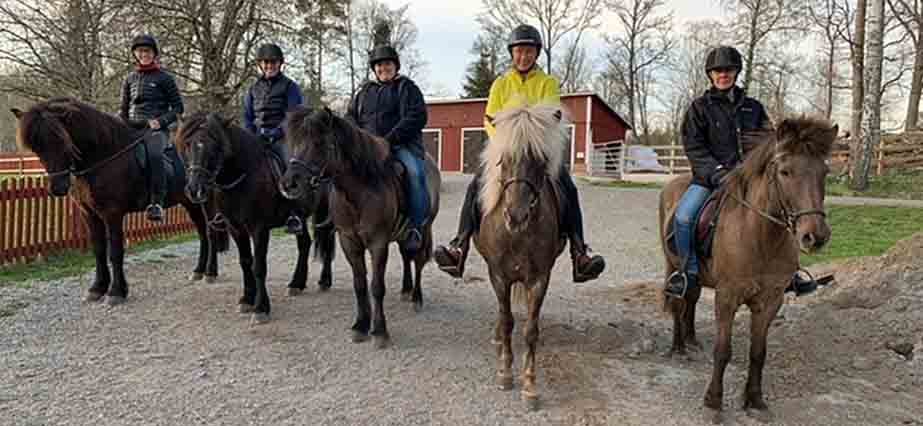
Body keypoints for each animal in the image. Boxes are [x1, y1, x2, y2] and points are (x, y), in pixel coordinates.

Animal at [14, 98, 226, 304]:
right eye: (36, 147)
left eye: (61, 140)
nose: (58, 187)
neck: (104, 154)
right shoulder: (89, 213)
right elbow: (99, 250)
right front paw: (97, 288)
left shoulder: (112, 213)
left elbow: (115, 252)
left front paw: (116, 292)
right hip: (190, 202)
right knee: (202, 232)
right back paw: (198, 271)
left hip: (204, 200)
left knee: (210, 232)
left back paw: (210, 272)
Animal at [175, 112, 338, 322]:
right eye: (187, 145)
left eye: (215, 146)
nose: (195, 189)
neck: (243, 177)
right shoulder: (236, 228)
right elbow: (246, 262)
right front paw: (247, 299)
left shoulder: (259, 229)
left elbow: (259, 266)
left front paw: (261, 308)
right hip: (300, 219)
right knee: (305, 244)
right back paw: (296, 284)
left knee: (327, 242)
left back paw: (324, 280)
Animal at [280, 106, 442, 350]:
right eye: (294, 142)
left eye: (319, 143)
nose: (288, 184)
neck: (359, 191)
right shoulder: (349, 241)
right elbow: (360, 285)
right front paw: (360, 326)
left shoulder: (378, 243)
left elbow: (376, 286)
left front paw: (380, 331)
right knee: (406, 257)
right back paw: (406, 290)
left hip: (424, 230)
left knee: (419, 260)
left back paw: (416, 297)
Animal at [476, 103, 572, 410]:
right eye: (504, 159)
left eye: (540, 160)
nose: (516, 216)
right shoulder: (498, 276)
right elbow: (508, 321)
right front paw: (506, 373)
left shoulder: (539, 278)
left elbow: (531, 329)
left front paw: (530, 385)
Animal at [656, 117, 836, 420]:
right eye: (785, 171)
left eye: (824, 172)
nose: (815, 236)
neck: (760, 237)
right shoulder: (727, 297)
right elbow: (723, 351)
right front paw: (714, 401)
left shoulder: (770, 301)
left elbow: (758, 353)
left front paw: (754, 399)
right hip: (673, 266)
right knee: (679, 301)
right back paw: (679, 347)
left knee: (691, 298)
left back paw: (691, 340)